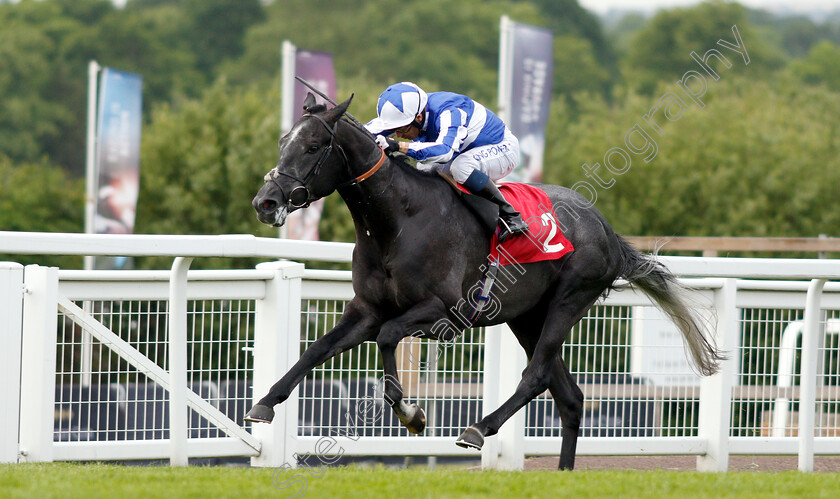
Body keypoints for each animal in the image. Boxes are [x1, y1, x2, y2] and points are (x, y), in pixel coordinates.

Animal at [244, 93, 720, 468]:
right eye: (283, 142)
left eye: (313, 146)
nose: (265, 202)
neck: (397, 219)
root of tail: (605, 228)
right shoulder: (366, 308)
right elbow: (317, 349)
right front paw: (264, 403)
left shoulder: (442, 312)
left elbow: (389, 336)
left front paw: (411, 414)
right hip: (527, 316)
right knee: (569, 396)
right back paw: (562, 473)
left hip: (569, 300)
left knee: (536, 376)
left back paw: (478, 428)